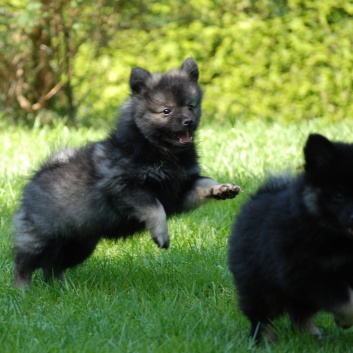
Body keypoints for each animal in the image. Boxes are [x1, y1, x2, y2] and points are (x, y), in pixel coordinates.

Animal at [228, 133, 353, 340]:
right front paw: (345, 319)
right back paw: (265, 340)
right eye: (338, 195)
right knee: (262, 316)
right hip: (259, 284)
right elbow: (345, 301)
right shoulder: (305, 272)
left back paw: (311, 336)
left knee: (300, 314)